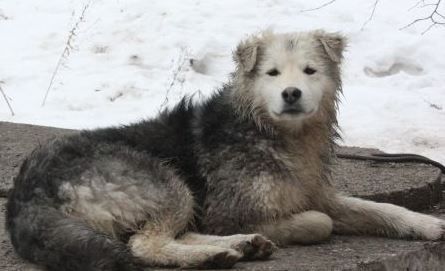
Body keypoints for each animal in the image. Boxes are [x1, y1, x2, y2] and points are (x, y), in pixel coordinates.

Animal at [6, 30, 444, 270]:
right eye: (271, 73)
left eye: (310, 71)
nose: (291, 93)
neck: (270, 131)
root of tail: (26, 192)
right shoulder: (228, 211)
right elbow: (320, 221)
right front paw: (300, 225)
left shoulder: (318, 193)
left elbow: (381, 209)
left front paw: (426, 225)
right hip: (166, 182)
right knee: (146, 244)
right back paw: (215, 254)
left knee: (170, 235)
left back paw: (241, 246)